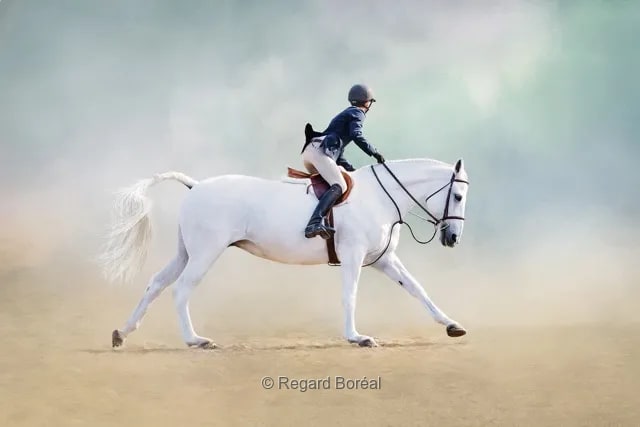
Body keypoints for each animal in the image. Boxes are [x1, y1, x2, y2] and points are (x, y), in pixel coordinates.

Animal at [99, 156, 470, 348]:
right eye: (458, 196)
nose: (453, 237)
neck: (380, 196)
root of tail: (196, 186)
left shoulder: (384, 260)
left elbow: (418, 290)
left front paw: (452, 325)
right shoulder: (353, 257)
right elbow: (349, 296)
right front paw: (356, 337)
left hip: (186, 253)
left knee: (156, 284)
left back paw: (122, 333)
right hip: (205, 253)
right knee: (180, 290)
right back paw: (195, 340)